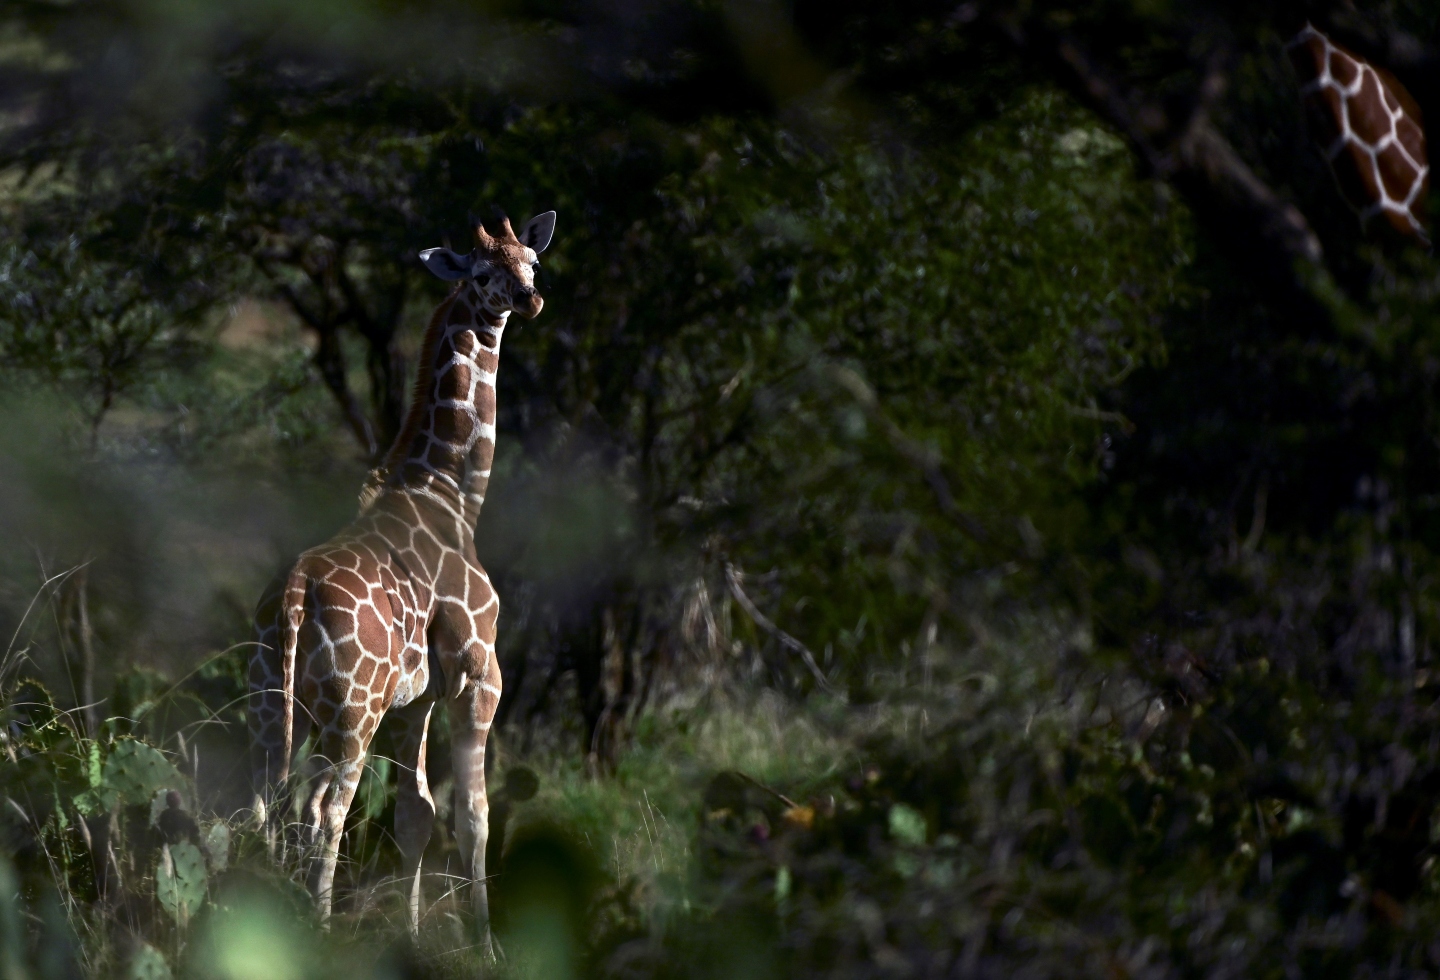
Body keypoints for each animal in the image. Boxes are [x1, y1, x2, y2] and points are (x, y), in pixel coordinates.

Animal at [244, 208, 552, 949]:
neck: (453, 492)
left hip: (275, 702)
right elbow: (474, 816)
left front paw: (411, 936)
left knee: (261, 802)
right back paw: (318, 928)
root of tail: (292, 600)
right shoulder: (482, 676)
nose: (529, 299)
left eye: (532, 260)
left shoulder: (416, 699)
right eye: (481, 272)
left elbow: (414, 813)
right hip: (351, 712)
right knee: (327, 810)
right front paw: (488, 945)